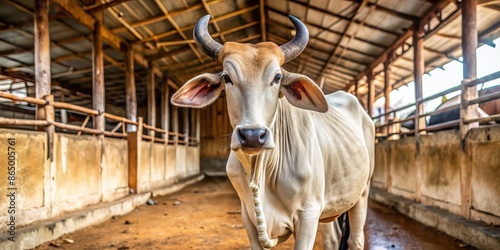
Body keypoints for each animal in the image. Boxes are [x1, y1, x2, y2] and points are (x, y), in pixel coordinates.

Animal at [172, 14, 372, 249]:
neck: (262, 171)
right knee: (332, 239)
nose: (252, 136)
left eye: (277, 78)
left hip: (362, 193)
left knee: (355, 239)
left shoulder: (308, 214)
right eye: (226, 78)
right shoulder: (248, 217)